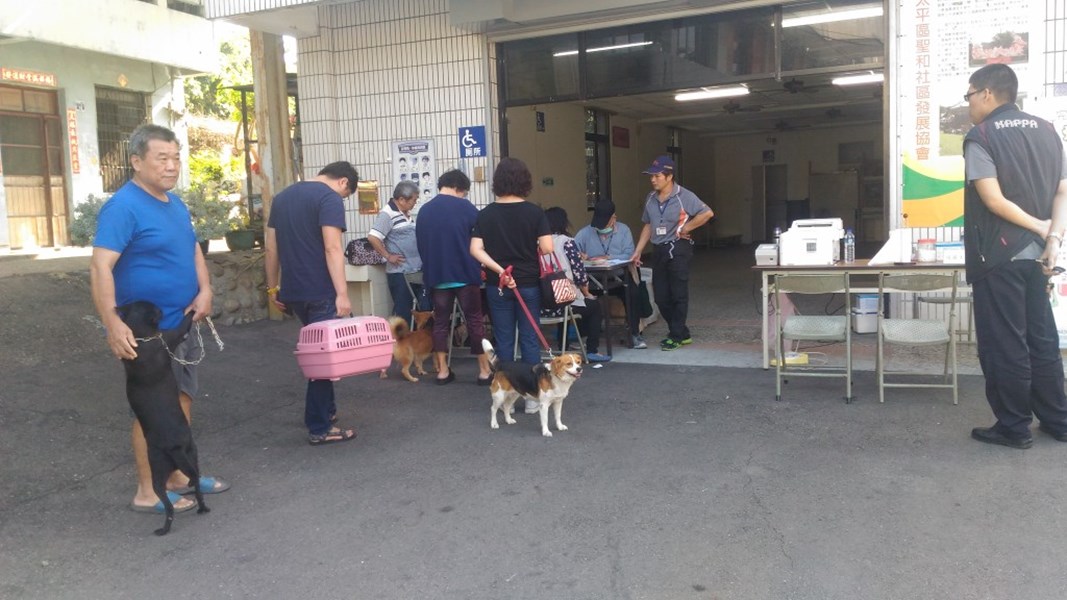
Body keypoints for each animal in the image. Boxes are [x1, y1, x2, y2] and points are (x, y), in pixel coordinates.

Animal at [117, 298, 206, 531]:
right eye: (155, 308)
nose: (162, 308)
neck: (141, 338)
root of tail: (175, 448)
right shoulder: (171, 336)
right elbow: (185, 323)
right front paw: (192, 309)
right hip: (188, 455)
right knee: (191, 488)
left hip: (166, 468)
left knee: (174, 502)